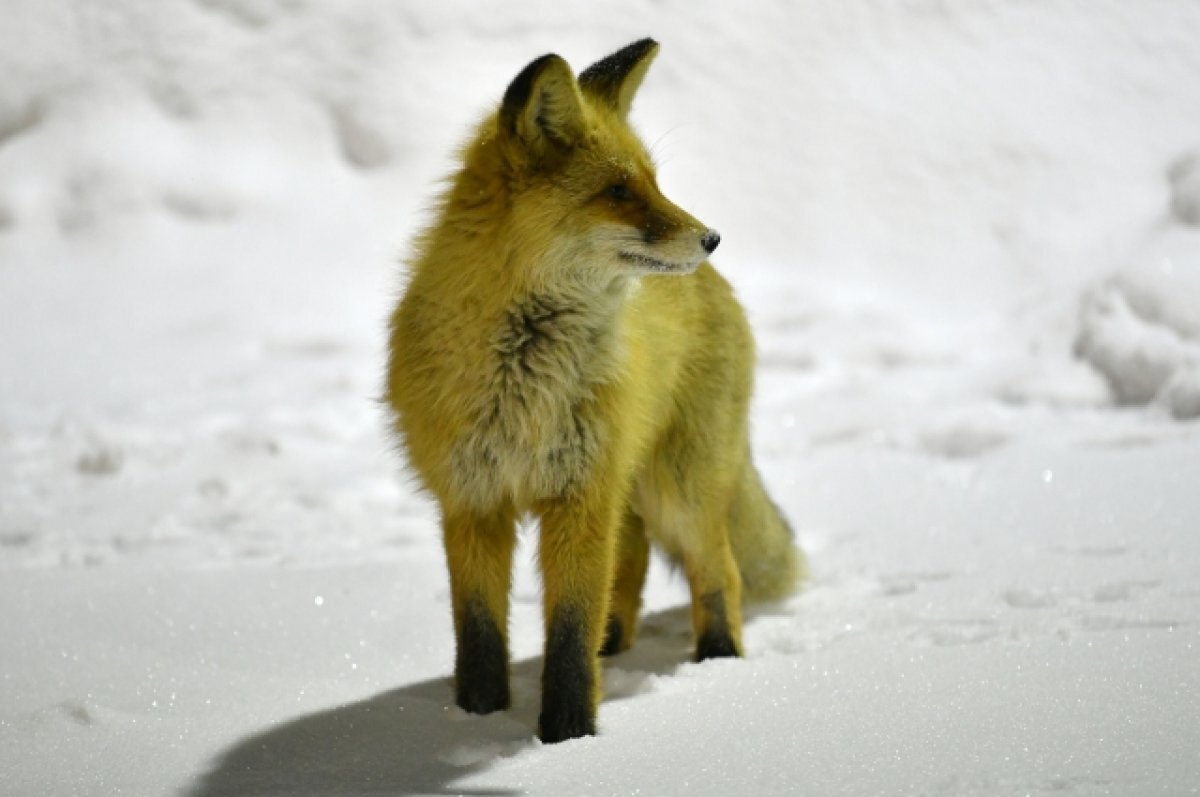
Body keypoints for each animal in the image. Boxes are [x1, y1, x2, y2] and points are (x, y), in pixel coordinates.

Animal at [384, 37, 801, 744]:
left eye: (654, 183)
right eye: (617, 191)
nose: (713, 237)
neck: (522, 379)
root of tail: (718, 286)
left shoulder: (580, 495)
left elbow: (569, 636)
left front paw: (567, 736)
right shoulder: (472, 499)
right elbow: (480, 634)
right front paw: (476, 718)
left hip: (677, 490)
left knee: (719, 572)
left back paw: (717, 664)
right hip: (629, 486)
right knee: (632, 562)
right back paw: (620, 644)